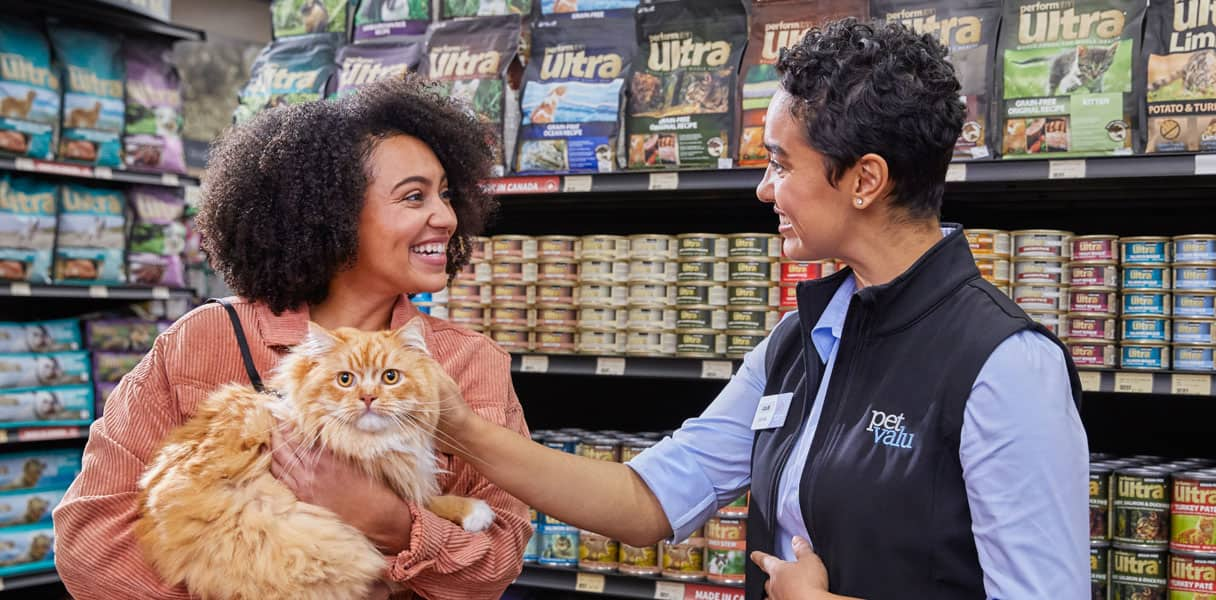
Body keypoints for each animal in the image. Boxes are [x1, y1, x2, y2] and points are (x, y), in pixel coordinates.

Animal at [135, 318, 491, 598]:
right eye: (345, 379)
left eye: (391, 377)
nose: (368, 398)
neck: (365, 443)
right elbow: (424, 504)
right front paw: (475, 513)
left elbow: (426, 504)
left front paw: (472, 512)